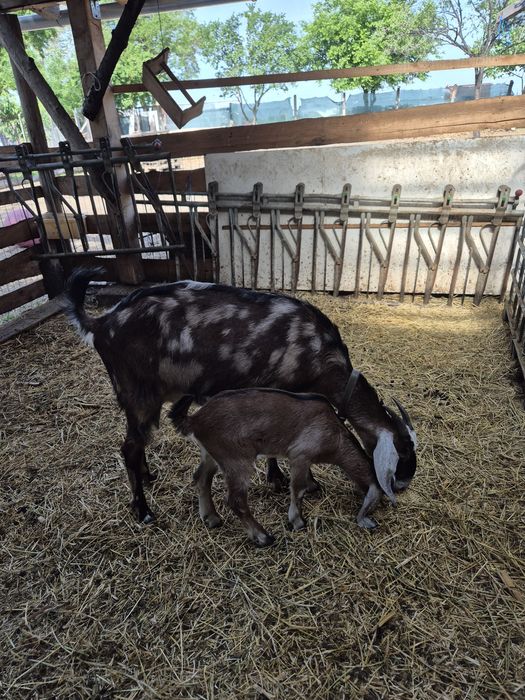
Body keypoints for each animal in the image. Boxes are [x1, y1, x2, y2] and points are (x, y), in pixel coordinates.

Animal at [63, 269, 417, 524]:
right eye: (401, 451)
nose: (402, 484)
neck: (321, 356)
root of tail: (101, 323)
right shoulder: (280, 389)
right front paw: (287, 480)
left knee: (138, 444)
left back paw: (148, 476)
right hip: (138, 394)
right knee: (129, 448)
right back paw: (143, 510)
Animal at [170, 389, 386, 546]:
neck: (336, 436)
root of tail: (195, 420)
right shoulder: (300, 455)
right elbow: (298, 490)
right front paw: (297, 522)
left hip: (212, 455)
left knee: (200, 478)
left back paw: (212, 518)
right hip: (236, 459)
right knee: (236, 500)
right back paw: (262, 537)